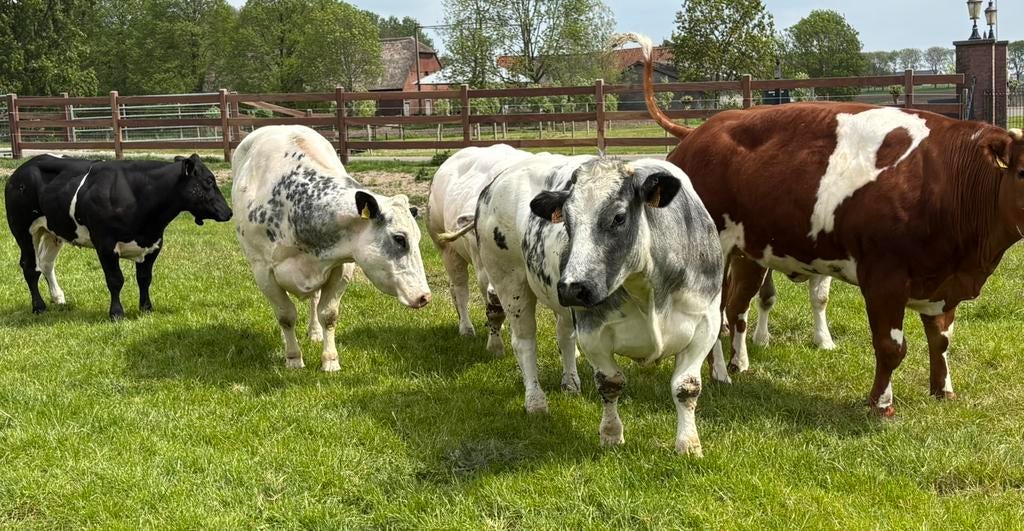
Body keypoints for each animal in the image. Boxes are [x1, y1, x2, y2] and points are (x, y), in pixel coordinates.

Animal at [5, 153, 232, 319]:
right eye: (208, 181)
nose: (228, 212)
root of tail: (22, 169)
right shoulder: (105, 244)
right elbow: (115, 279)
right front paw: (116, 313)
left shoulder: (154, 244)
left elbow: (145, 278)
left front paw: (146, 309)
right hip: (22, 229)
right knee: (30, 267)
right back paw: (39, 306)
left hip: (53, 231)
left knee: (45, 263)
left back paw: (58, 297)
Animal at [232, 125, 431, 371]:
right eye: (400, 238)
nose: (424, 296)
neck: (294, 209)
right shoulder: (263, 271)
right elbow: (285, 316)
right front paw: (293, 357)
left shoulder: (341, 267)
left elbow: (328, 314)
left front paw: (330, 359)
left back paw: (314, 332)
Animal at [462, 153, 726, 454]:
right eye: (566, 221)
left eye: (619, 217)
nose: (572, 287)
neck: (650, 290)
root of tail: (497, 180)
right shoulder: (593, 333)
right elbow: (610, 383)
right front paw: (611, 434)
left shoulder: (705, 325)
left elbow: (686, 387)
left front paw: (689, 444)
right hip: (510, 282)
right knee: (524, 343)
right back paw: (536, 400)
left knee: (564, 337)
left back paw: (570, 382)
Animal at [627, 32, 1024, 415]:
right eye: (1021, 172)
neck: (946, 180)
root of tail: (701, 131)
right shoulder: (884, 279)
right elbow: (891, 347)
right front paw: (881, 404)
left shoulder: (941, 284)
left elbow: (940, 339)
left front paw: (943, 390)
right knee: (715, 314)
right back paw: (720, 373)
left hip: (748, 251)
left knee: (735, 306)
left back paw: (737, 365)